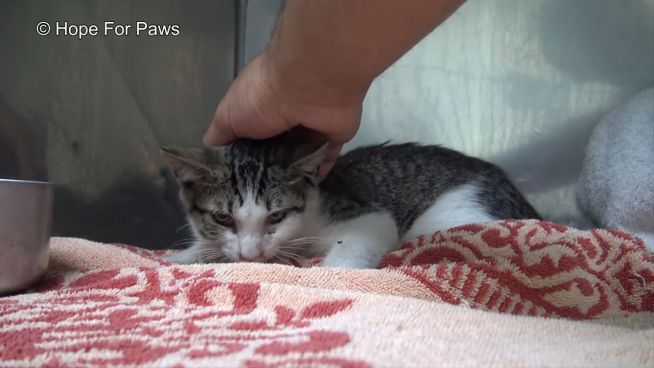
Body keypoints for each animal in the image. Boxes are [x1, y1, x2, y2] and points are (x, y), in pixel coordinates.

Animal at [161, 132, 540, 268]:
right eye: (223, 218)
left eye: (277, 217)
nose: (250, 255)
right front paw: (182, 257)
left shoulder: (366, 214)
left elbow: (352, 247)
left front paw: (332, 274)